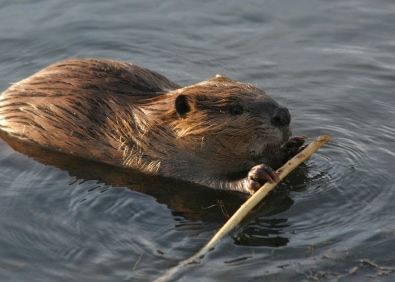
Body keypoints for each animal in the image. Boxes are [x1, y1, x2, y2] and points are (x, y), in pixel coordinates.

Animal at [0, 57, 306, 194]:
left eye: (259, 89)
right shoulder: (161, 158)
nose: (283, 115)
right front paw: (257, 176)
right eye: (235, 109)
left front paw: (294, 146)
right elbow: (207, 182)